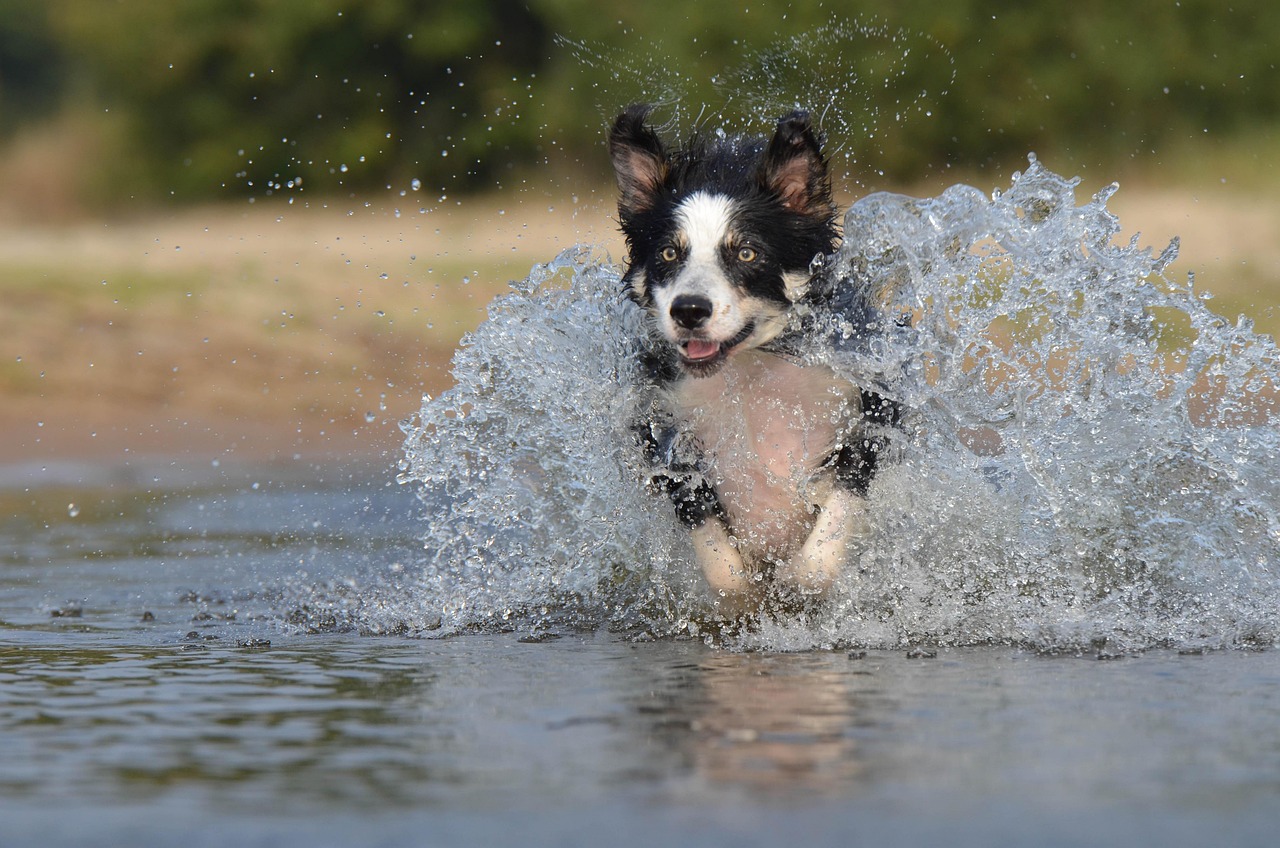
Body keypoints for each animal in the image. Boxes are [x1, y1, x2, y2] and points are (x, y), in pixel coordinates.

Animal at [611, 104, 896, 612]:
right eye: (668, 252)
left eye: (746, 252)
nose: (688, 310)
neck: (748, 368)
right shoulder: (661, 425)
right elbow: (719, 560)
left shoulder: (869, 405)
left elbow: (823, 545)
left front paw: (797, 587)